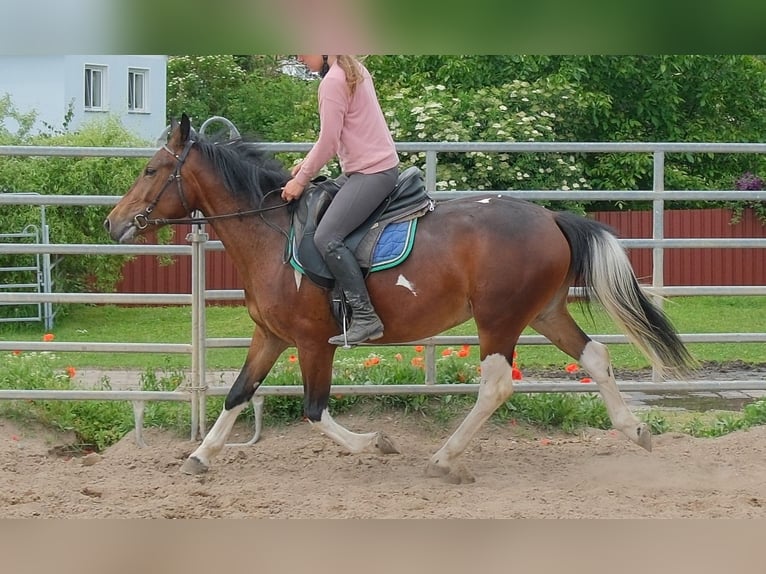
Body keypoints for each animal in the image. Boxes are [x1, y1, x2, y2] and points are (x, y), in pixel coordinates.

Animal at [104, 114, 695, 483]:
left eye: (151, 170)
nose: (113, 223)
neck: (272, 234)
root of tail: (549, 217)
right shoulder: (269, 336)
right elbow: (237, 394)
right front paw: (199, 457)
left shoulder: (313, 342)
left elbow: (315, 411)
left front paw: (376, 443)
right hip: (544, 312)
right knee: (594, 356)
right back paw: (635, 429)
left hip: (499, 319)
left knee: (496, 385)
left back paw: (445, 458)